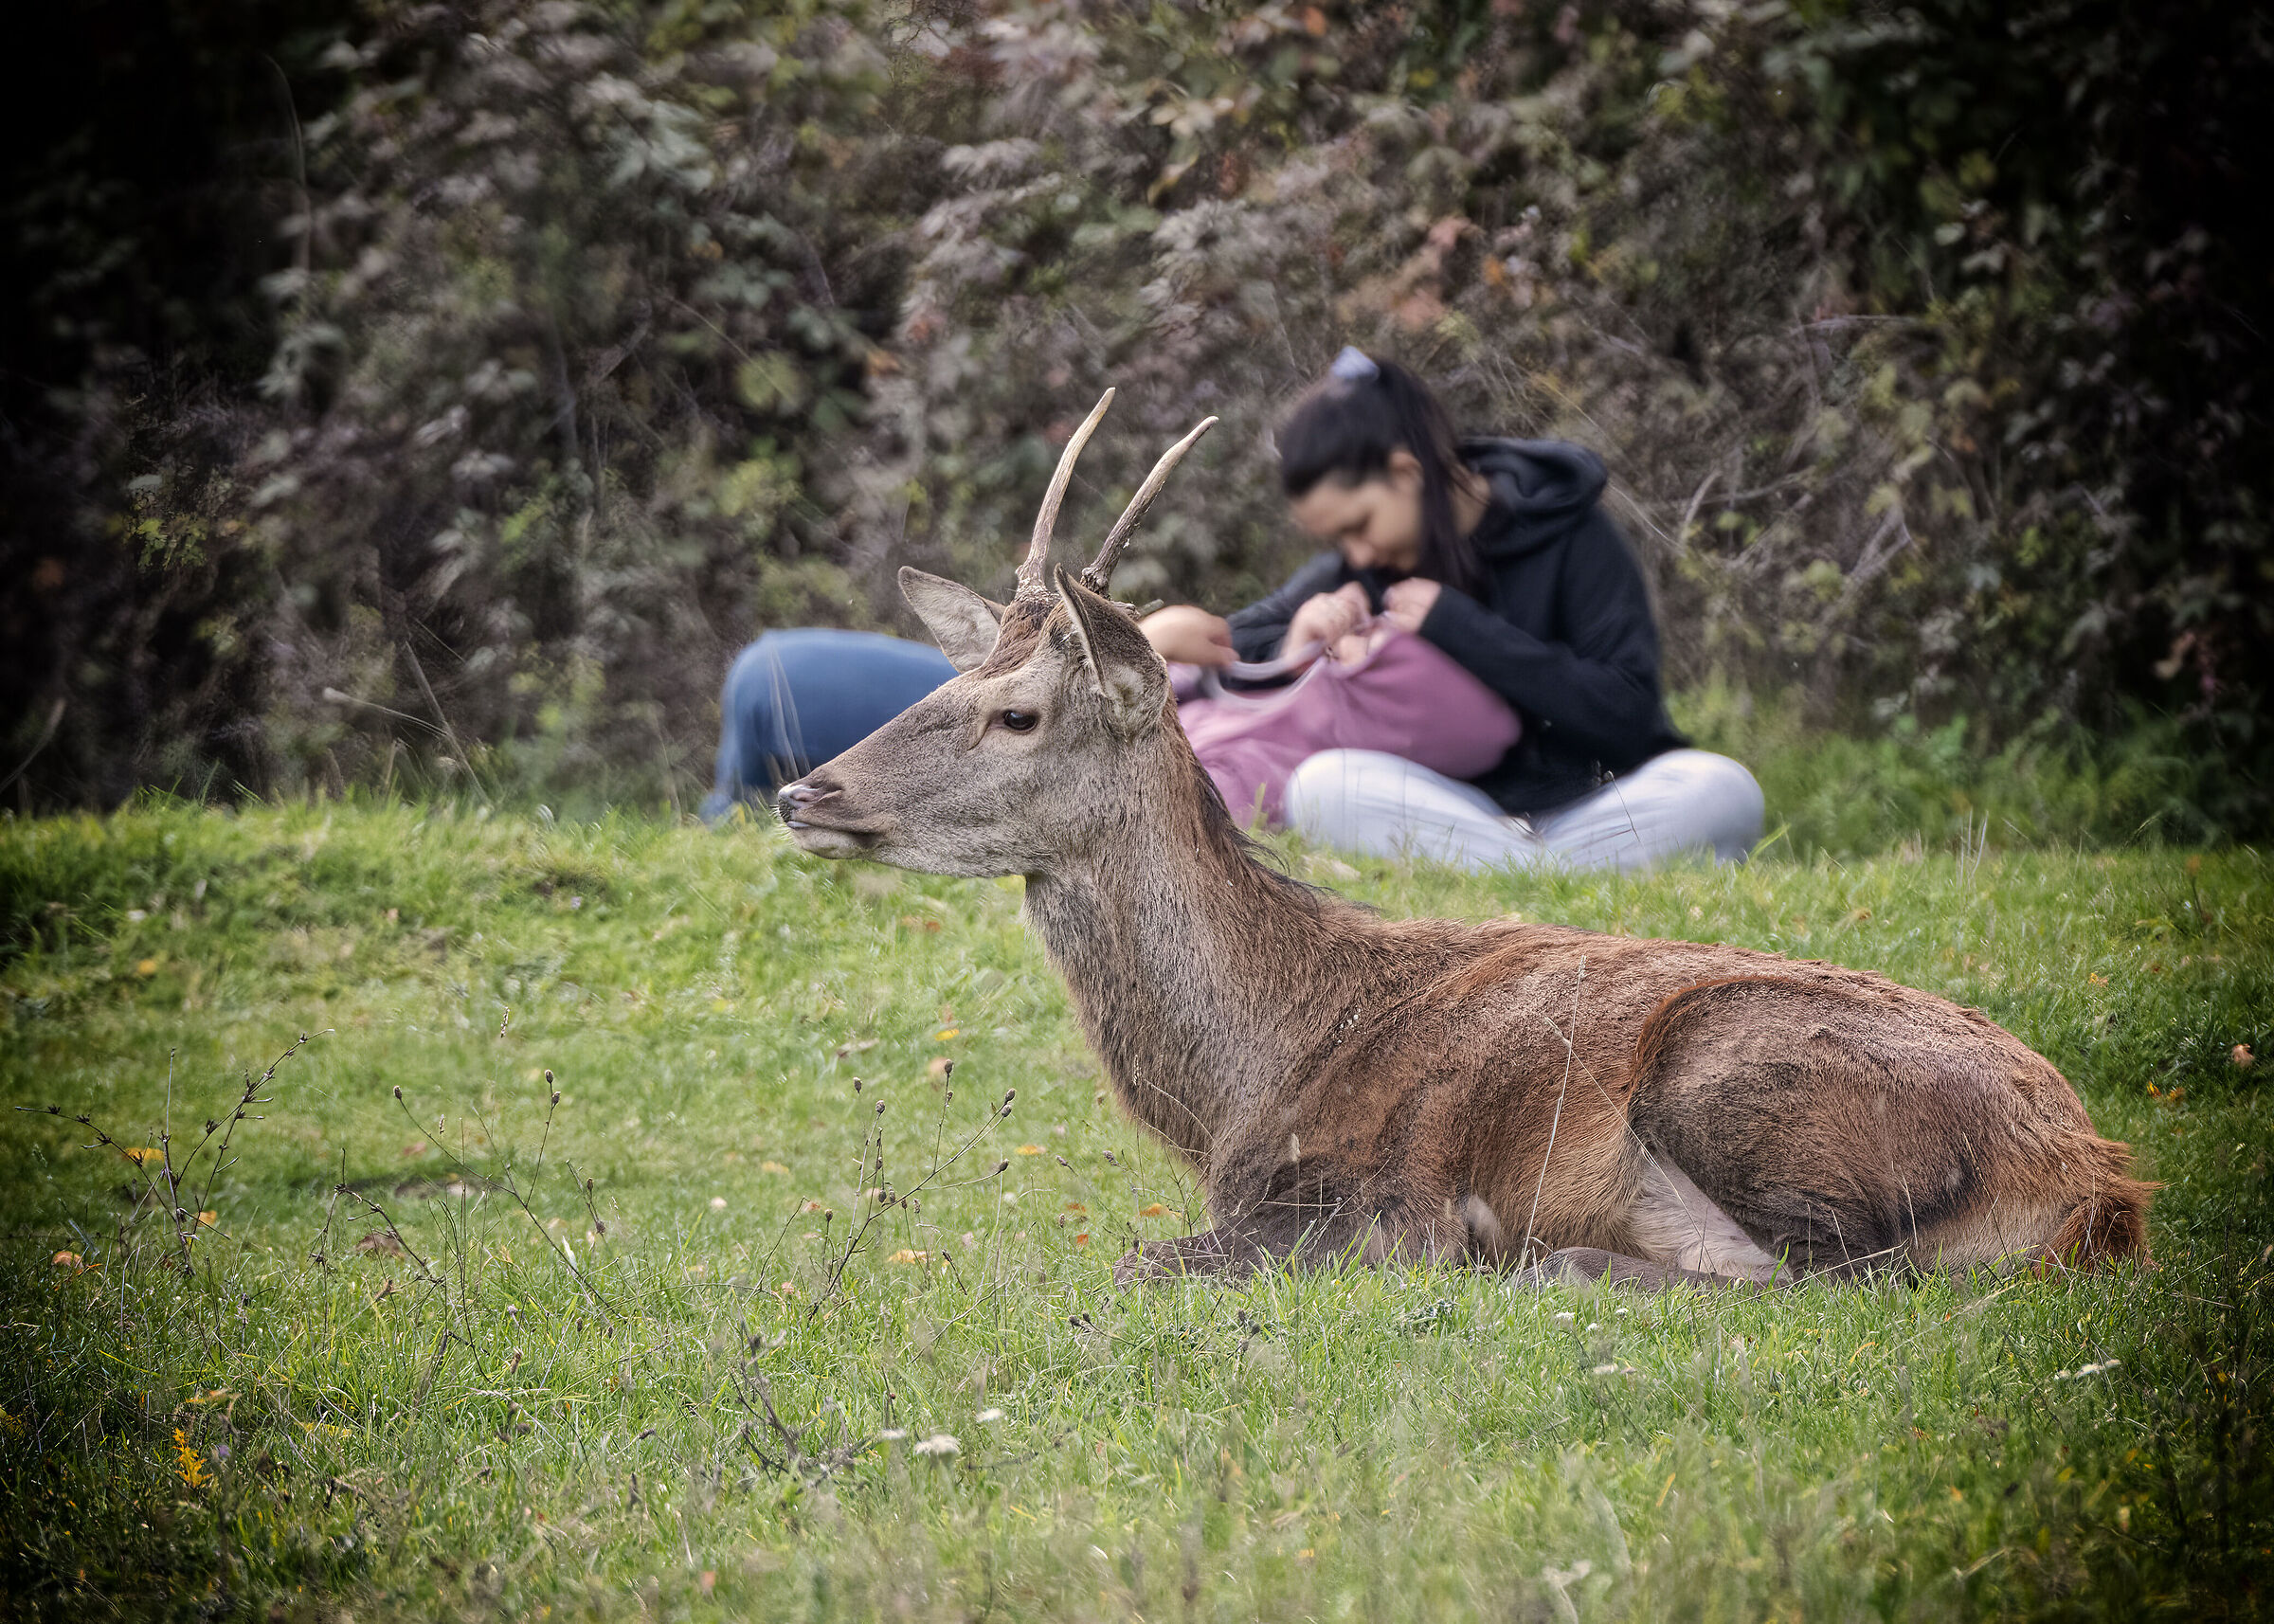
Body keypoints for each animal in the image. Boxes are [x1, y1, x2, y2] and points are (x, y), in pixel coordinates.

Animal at [776, 391, 2151, 1291]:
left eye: (1017, 711)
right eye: (959, 681)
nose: (804, 791)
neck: (1238, 1084)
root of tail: (2093, 1186)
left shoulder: (1361, 1204)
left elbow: (1135, 1260)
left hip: (1732, 1073)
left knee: (1837, 1275)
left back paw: (1556, 1258)